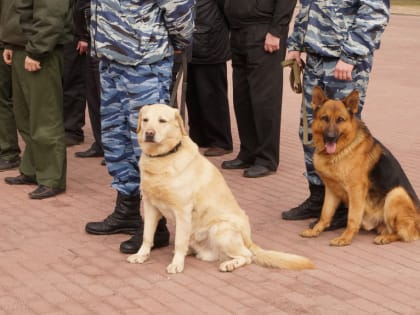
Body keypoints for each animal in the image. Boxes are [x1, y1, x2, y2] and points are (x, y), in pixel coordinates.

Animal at [128, 105, 316, 274]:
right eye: (145, 120)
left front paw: (176, 264)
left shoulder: (182, 211)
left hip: (220, 229)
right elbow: (147, 236)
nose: (149, 133)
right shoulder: (150, 206)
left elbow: (179, 241)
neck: (162, 159)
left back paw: (229, 264)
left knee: (247, 256)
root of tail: (248, 239)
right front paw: (141, 255)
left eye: (162, 121)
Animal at [300, 86, 418, 247]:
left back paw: (385, 238)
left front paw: (345, 238)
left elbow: (352, 218)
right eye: (324, 118)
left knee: (403, 233)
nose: (330, 137)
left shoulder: (356, 191)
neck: (342, 151)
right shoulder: (331, 190)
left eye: (340, 120)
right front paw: (315, 231)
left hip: (396, 193)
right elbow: (325, 214)